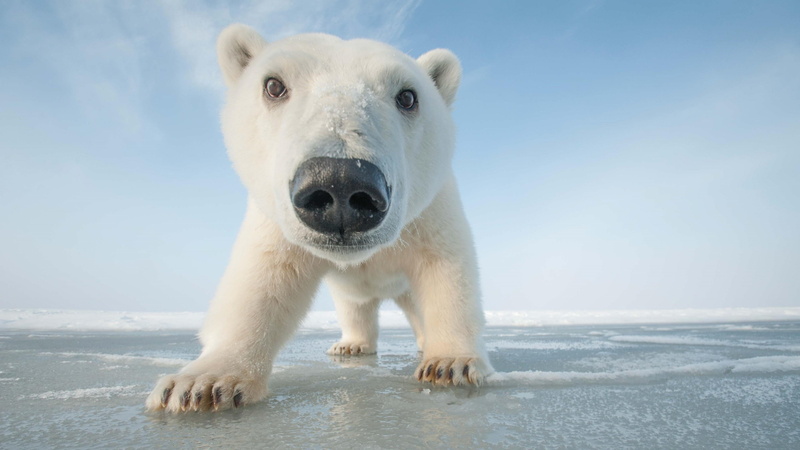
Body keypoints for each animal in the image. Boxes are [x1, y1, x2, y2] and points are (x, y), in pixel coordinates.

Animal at [146, 24, 493, 412]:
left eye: (407, 96)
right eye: (273, 85)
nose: (340, 183)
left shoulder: (429, 214)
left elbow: (446, 271)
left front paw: (452, 363)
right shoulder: (276, 225)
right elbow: (263, 282)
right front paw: (200, 384)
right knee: (355, 306)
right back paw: (351, 344)